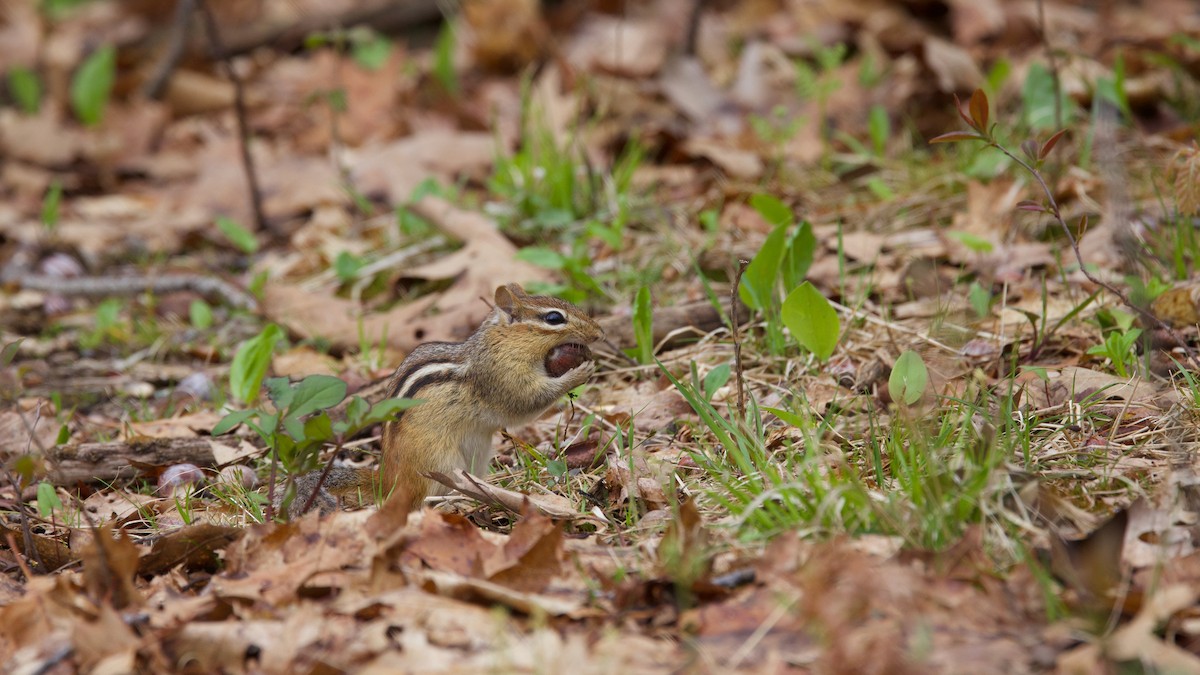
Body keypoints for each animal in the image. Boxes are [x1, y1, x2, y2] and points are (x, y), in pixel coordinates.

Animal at [278, 283, 604, 518]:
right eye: (554, 318)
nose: (599, 333)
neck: (500, 342)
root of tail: (388, 482)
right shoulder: (500, 377)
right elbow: (526, 402)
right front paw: (580, 372)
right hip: (440, 462)